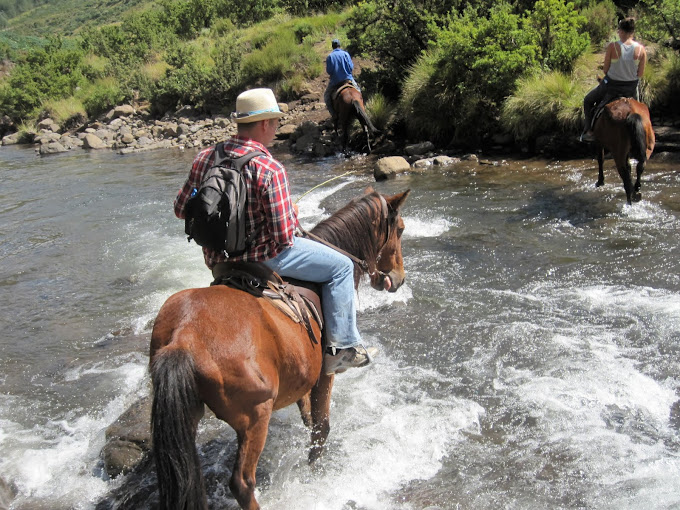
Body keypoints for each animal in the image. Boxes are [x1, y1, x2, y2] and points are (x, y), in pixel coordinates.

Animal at [150, 188, 410, 510]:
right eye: (401, 229)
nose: (398, 278)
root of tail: (183, 337)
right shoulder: (325, 374)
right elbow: (321, 427)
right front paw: (316, 473)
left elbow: (308, 418)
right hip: (255, 417)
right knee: (242, 483)